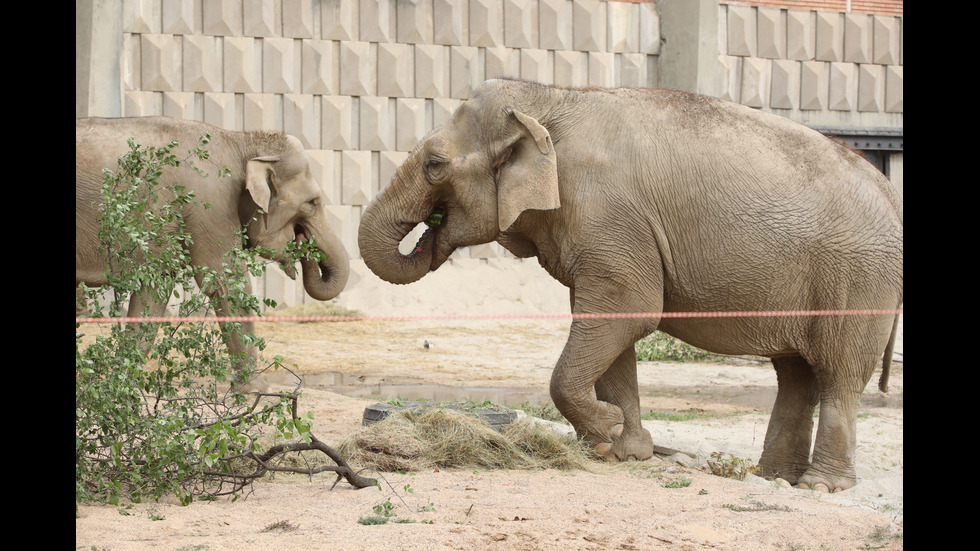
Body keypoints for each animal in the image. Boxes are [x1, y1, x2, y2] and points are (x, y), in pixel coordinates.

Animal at [78, 115, 352, 378]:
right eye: (312, 202)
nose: (303, 240)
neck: (240, 139)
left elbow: (154, 293)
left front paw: (125, 381)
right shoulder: (210, 207)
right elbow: (227, 284)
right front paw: (255, 389)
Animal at [358, 77, 904, 492]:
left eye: (434, 165)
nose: (429, 234)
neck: (550, 99)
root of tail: (891, 193)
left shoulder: (608, 217)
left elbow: (629, 310)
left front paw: (609, 430)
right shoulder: (600, 233)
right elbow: (611, 323)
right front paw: (625, 450)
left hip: (860, 280)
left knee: (837, 373)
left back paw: (821, 486)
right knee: (796, 374)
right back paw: (776, 478)